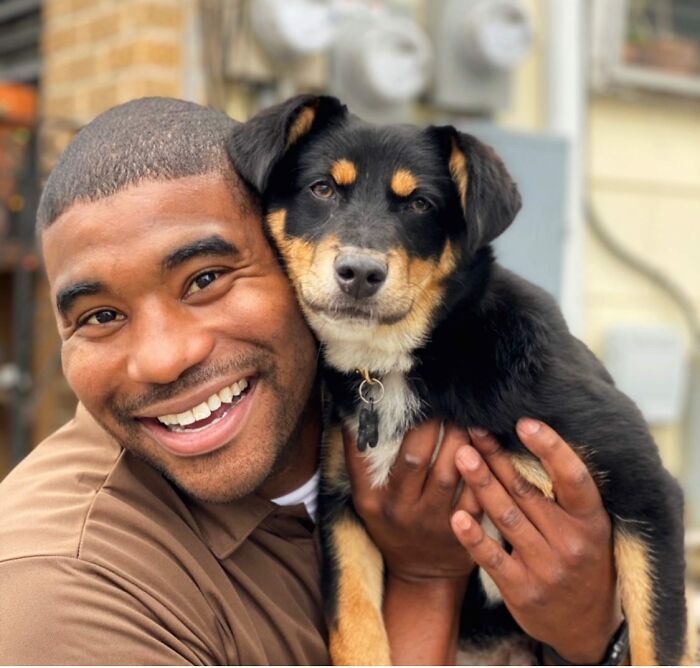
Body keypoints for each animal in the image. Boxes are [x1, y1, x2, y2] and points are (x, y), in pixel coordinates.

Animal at [228, 92, 688, 664]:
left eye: (420, 204)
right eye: (322, 188)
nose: (359, 273)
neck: (404, 364)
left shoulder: (646, 486)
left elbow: (657, 639)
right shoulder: (341, 511)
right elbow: (354, 628)